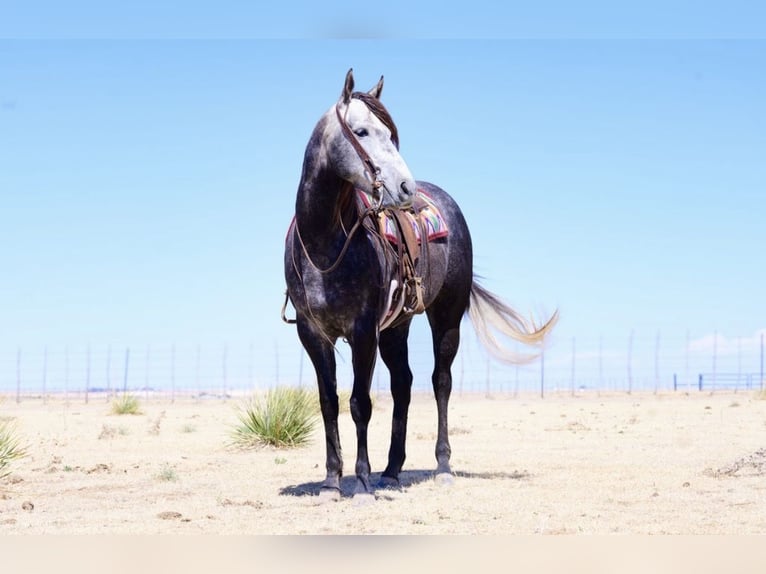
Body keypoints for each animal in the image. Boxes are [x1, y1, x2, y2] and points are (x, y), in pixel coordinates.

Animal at [283, 69, 557, 500]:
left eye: (391, 134)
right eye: (361, 131)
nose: (405, 189)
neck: (325, 245)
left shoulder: (363, 331)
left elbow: (360, 403)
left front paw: (362, 484)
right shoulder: (313, 333)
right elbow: (329, 403)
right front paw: (331, 482)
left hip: (445, 319)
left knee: (440, 383)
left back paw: (442, 466)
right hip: (397, 327)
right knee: (404, 384)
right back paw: (393, 470)